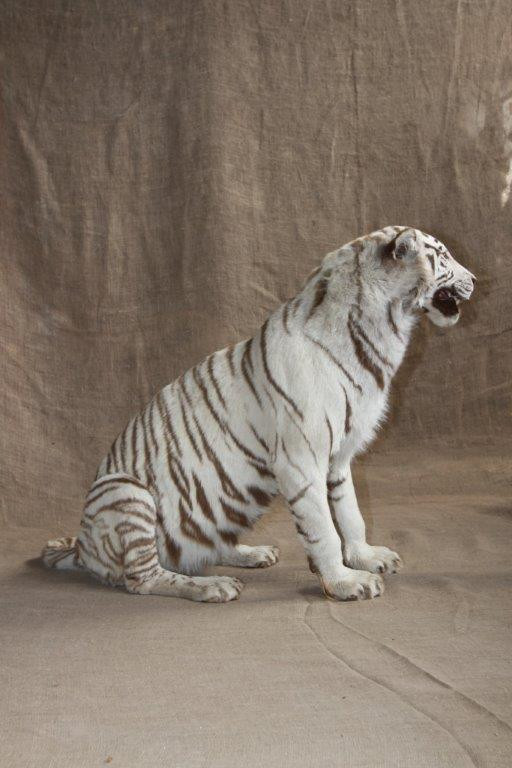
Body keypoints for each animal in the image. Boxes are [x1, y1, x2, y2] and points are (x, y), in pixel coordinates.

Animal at [42, 226, 475, 603]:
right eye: (444, 256)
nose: (474, 279)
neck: (382, 331)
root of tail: (81, 550)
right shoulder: (300, 461)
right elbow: (323, 527)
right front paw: (344, 582)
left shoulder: (339, 458)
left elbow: (350, 513)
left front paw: (366, 558)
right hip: (125, 492)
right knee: (143, 579)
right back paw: (214, 587)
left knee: (204, 547)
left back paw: (251, 554)